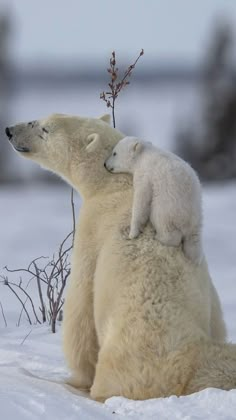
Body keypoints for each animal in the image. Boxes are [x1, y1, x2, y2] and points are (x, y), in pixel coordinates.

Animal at [5, 113, 236, 402]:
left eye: (44, 128)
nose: (9, 130)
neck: (116, 183)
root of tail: (185, 361)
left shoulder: (92, 228)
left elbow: (81, 307)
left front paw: (75, 376)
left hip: (128, 354)